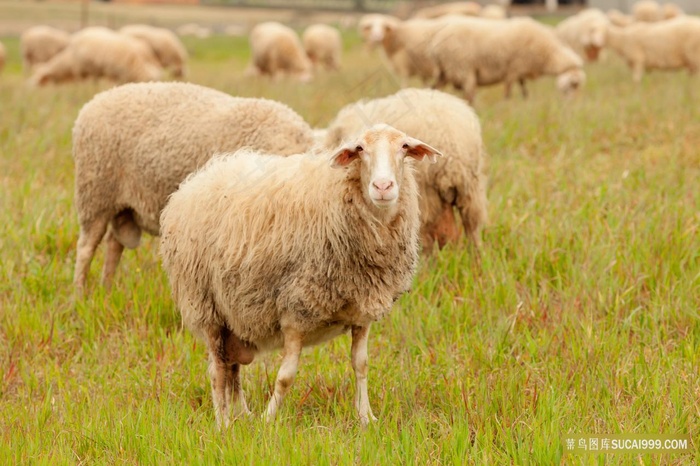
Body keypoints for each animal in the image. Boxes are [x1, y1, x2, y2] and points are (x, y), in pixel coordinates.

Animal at [72, 80, 314, 292]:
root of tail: (97, 99)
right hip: (95, 193)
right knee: (86, 248)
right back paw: (80, 295)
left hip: (121, 204)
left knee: (113, 244)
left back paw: (106, 289)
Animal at [161, 124, 440, 430]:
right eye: (359, 149)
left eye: (404, 147)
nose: (383, 187)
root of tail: (200, 176)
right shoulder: (296, 310)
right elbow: (286, 376)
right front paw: (268, 419)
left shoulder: (362, 311)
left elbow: (361, 364)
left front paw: (366, 417)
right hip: (205, 306)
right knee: (217, 371)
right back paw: (223, 423)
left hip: (234, 315)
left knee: (232, 368)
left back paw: (241, 415)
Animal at [432, 17, 584, 104]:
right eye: (574, 84)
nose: (571, 103)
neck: (547, 53)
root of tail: (436, 44)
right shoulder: (514, 68)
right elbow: (508, 91)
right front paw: (506, 104)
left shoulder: (521, 70)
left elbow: (524, 88)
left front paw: (526, 102)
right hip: (462, 67)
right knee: (469, 93)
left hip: (445, 72)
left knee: (435, 87)